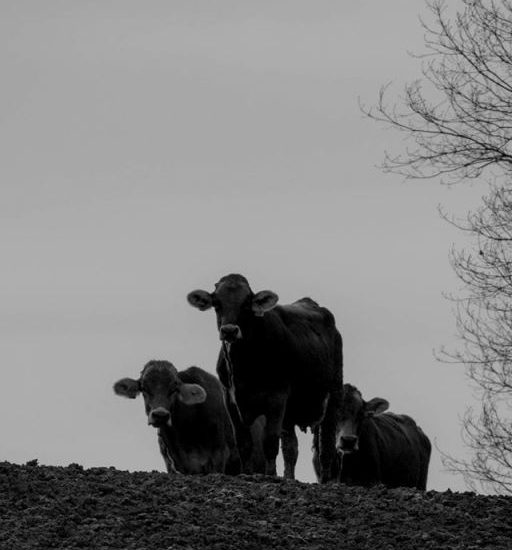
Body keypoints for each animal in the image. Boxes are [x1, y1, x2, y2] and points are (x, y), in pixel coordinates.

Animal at [186, 274, 342, 484]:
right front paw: (247, 474)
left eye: (246, 304)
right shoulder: (231, 401)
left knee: (326, 445)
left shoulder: (276, 397)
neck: (244, 367)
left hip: (333, 394)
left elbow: (269, 441)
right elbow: (244, 442)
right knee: (291, 447)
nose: (229, 331)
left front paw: (270, 476)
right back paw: (289, 478)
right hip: (290, 411)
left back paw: (326, 481)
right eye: (217, 303)